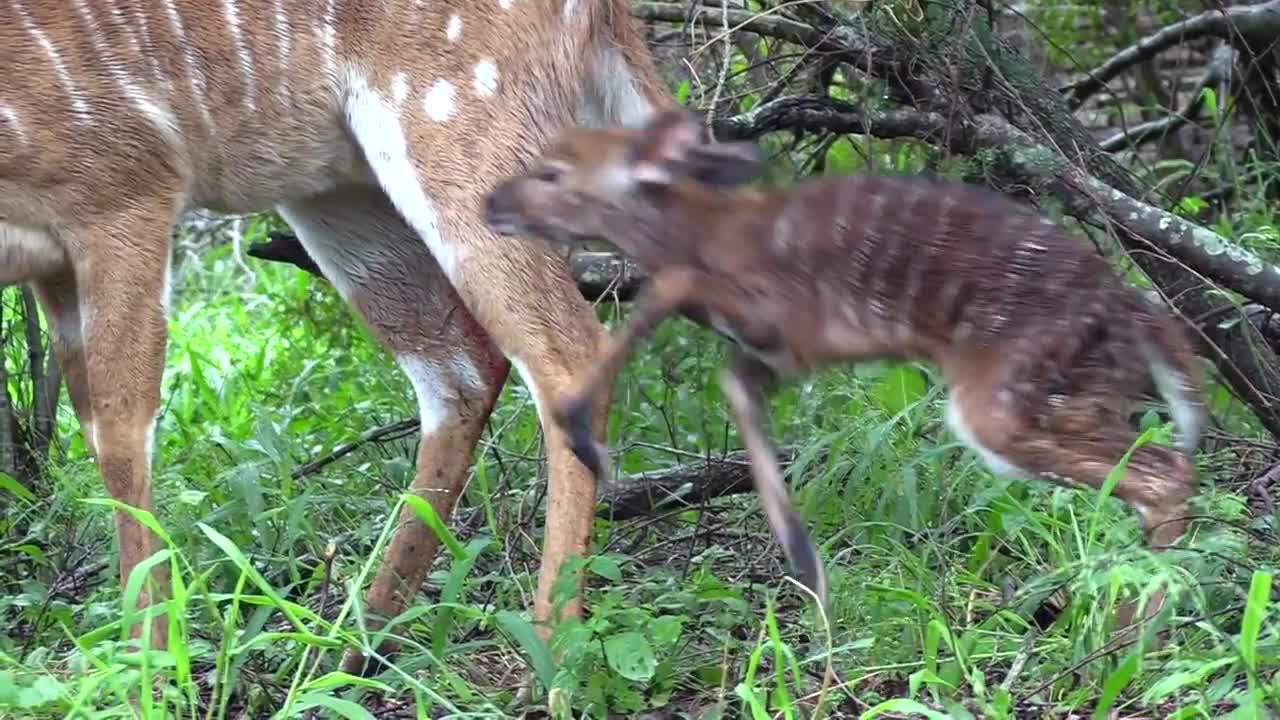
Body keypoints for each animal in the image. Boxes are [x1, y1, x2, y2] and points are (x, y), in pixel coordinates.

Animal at [0, 0, 675, 671]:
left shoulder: (126, 187)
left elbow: (122, 435)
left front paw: (151, 662)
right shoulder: (52, 263)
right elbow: (93, 428)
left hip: (461, 130)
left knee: (568, 351)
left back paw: (550, 661)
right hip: (334, 185)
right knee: (461, 370)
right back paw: (359, 651)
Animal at [483, 107, 1203, 617]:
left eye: (553, 172)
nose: (491, 202)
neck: (706, 233)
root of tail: (1132, 311)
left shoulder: (781, 314)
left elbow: (665, 296)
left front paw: (582, 433)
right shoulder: (777, 354)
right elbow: (733, 386)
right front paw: (811, 579)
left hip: (1006, 395)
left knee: (1166, 472)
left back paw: (1132, 642)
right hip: (1084, 390)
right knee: (1161, 468)